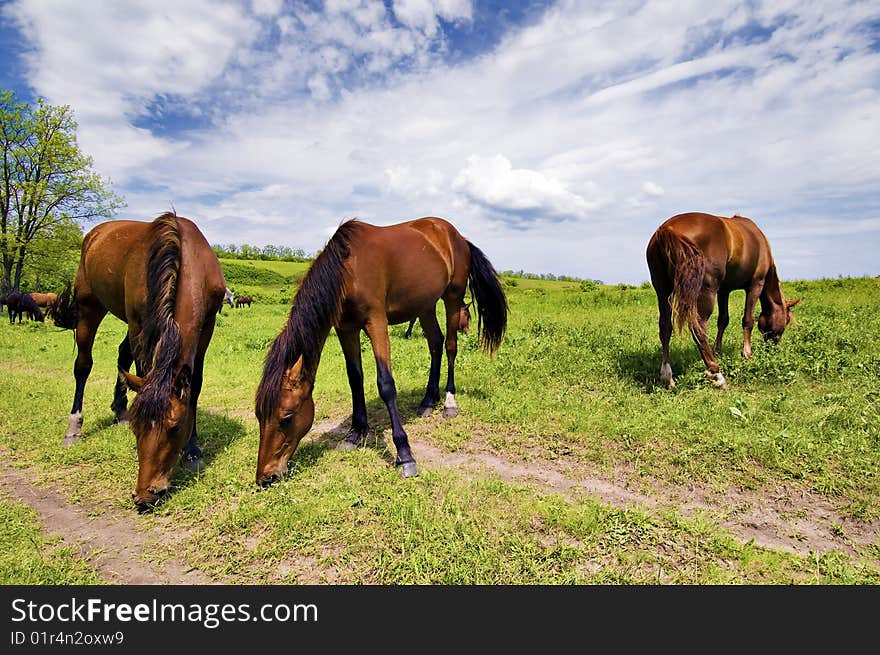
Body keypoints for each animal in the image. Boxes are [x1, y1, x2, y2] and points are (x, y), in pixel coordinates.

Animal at [54, 213, 227, 510]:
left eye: (175, 427)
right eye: (139, 429)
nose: (145, 494)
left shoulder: (207, 326)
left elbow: (194, 387)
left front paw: (193, 451)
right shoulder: (140, 324)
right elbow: (143, 370)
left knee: (122, 356)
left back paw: (119, 408)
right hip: (89, 306)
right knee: (83, 366)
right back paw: (74, 428)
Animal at [254, 218, 506, 484]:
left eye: (287, 416)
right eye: (259, 415)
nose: (265, 477)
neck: (348, 269)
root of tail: (457, 237)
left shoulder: (376, 321)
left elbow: (385, 383)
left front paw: (405, 455)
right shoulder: (346, 328)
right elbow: (355, 379)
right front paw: (356, 433)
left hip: (453, 298)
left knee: (449, 347)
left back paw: (449, 403)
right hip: (425, 304)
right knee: (435, 344)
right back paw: (429, 400)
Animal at [644, 211, 800, 390]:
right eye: (786, 320)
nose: (776, 347)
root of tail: (667, 229)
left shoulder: (724, 290)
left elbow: (723, 320)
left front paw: (717, 351)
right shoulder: (756, 284)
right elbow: (748, 320)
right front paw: (747, 354)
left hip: (662, 290)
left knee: (665, 327)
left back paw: (667, 377)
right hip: (706, 290)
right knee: (698, 328)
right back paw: (716, 374)